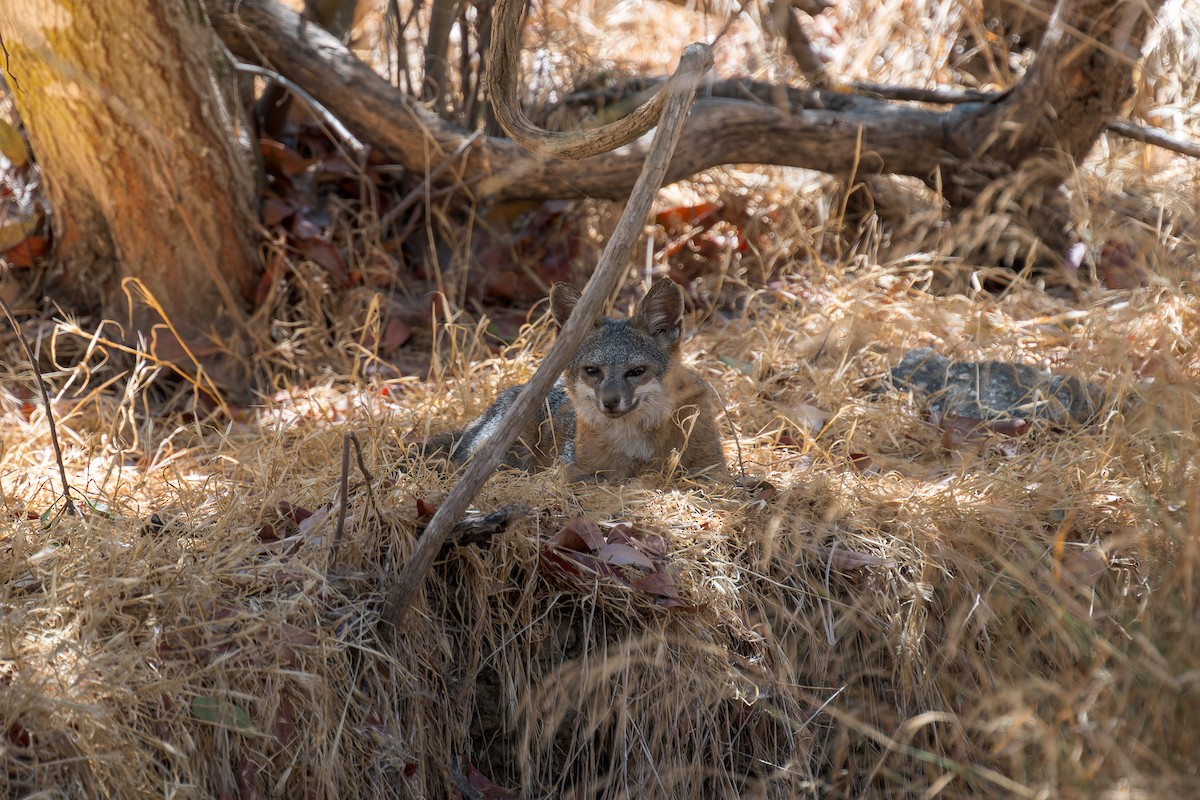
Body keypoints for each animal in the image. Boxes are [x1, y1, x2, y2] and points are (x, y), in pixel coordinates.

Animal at [427, 279, 727, 481]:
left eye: (636, 371)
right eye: (592, 371)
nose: (610, 402)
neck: (638, 442)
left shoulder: (711, 466)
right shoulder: (576, 469)